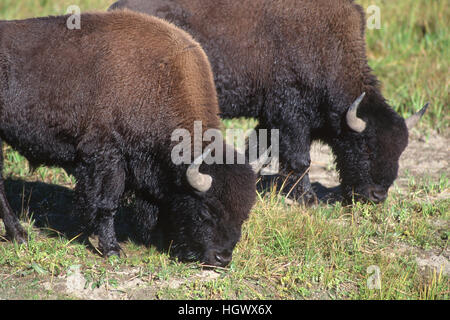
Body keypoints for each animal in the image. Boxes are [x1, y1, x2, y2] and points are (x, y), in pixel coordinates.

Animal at [0, 10, 256, 266]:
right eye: (206, 211)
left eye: (243, 215)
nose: (222, 258)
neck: (160, 83)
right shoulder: (108, 158)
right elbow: (107, 203)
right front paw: (112, 249)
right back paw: (20, 235)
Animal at [110, 0, 428, 204]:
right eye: (366, 147)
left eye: (400, 151)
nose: (377, 196)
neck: (329, 50)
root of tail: (116, 10)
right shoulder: (291, 118)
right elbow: (300, 159)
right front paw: (308, 199)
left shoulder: (269, 120)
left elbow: (257, 150)